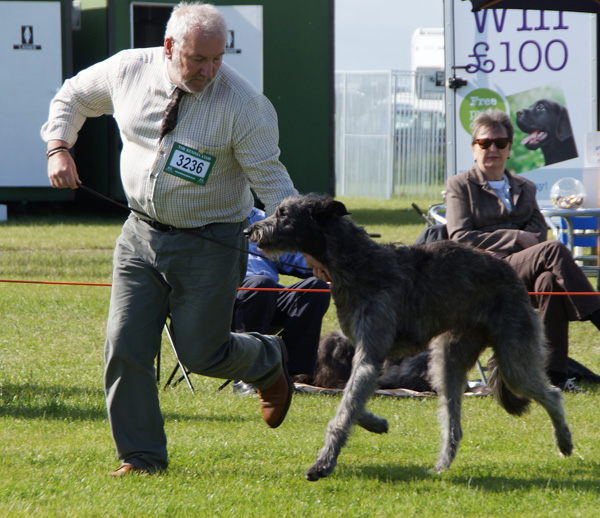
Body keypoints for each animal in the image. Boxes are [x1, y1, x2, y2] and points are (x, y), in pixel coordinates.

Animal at [246, 196, 576, 484]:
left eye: (284, 214)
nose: (250, 231)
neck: (357, 263)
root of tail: (508, 269)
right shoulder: (363, 354)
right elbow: (350, 400)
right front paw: (376, 423)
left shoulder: (369, 354)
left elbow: (344, 410)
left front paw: (323, 464)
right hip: (448, 360)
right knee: (453, 422)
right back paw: (442, 464)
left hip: (513, 355)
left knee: (551, 394)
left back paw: (564, 442)